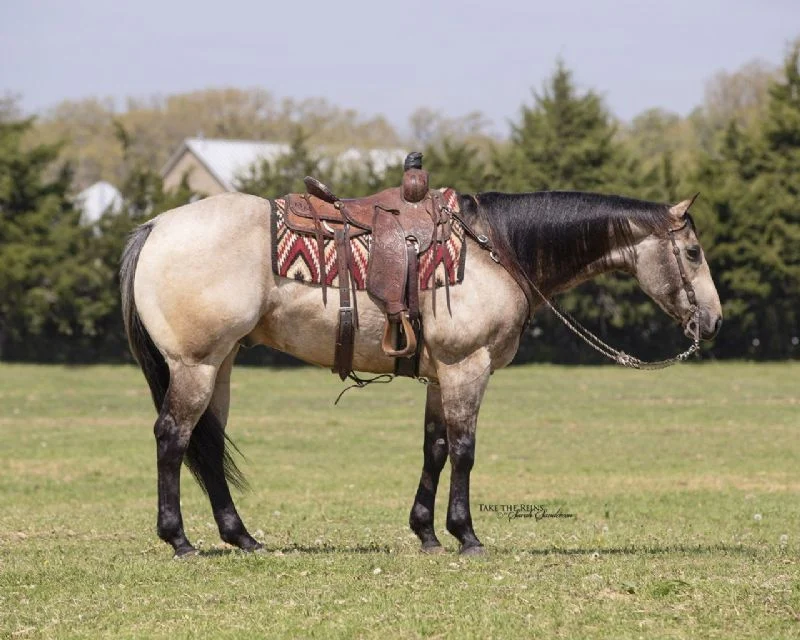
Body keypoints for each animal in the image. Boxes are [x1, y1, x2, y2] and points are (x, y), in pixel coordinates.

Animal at [120, 188, 722, 557]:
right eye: (693, 252)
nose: (714, 322)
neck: (497, 252)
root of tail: (155, 226)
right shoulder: (466, 367)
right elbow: (464, 449)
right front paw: (466, 534)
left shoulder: (440, 376)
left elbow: (434, 448)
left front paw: (427, 532)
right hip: (195, 365)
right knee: (173, 438)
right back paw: (179, 540)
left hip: (219, 365)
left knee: (207, 444)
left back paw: (241, 537)